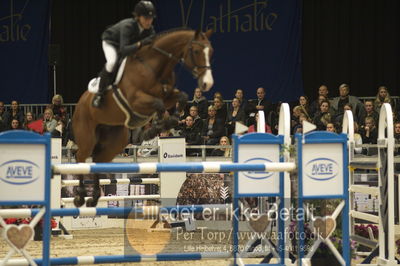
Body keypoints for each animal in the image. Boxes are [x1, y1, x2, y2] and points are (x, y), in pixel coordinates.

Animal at [73, 29, 214, 208]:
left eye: (211, 52)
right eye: (196, 51)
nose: (207, 83)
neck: (155, 67)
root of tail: (79, 104)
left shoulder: (168, 96)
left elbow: (181, 97)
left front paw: (168, 122)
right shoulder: (137, 100)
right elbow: (159, 104)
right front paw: (156, 126)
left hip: (115, 140)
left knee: (98, 160)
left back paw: (94, 197)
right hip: (87, 136)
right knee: (80, 157)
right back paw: (80, 196)